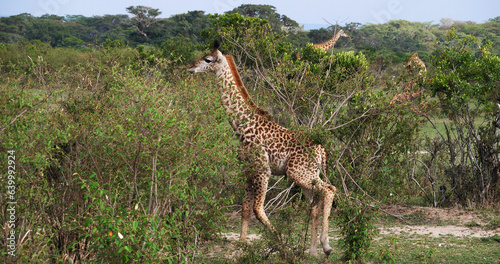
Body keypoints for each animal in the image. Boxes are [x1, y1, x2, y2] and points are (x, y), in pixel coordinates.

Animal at [189, 42, 338, 256]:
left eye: (208, 59)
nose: (191, 67)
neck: (241, 126)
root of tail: (322, 150)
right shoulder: (247, 171)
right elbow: (245, 209)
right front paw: (241, 248)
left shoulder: (262, 171)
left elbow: (257, 210)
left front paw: (281, 244)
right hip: (307, 176)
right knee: (315, 205)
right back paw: (312, 251)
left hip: (298, 173)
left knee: (329, 190)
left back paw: (326, 245)